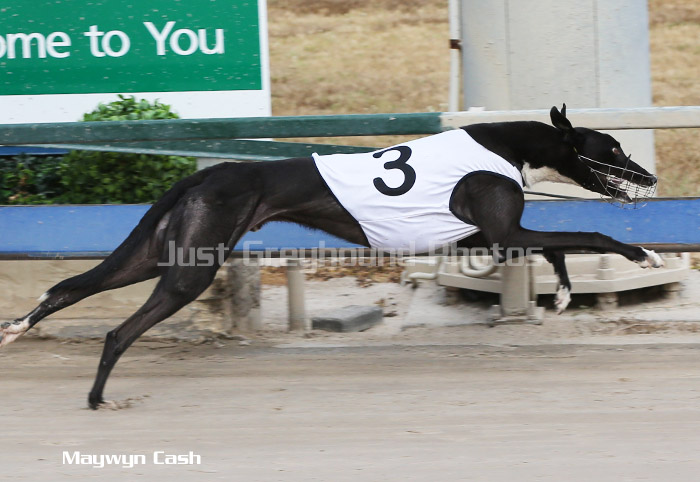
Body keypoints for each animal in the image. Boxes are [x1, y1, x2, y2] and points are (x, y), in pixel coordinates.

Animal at [0, 104, 662, 409]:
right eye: (612, 147)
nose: (650, 177)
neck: (510, 144)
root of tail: (209, 171)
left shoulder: (479, 238)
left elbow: (558, 249)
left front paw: (565, 292)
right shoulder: (503, 230)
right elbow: (589, 235)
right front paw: (640, 254)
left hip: (154, 254)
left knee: (66, 287)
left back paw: (17, 329)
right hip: (189, 270)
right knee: (118, 330)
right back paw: (96, 397)